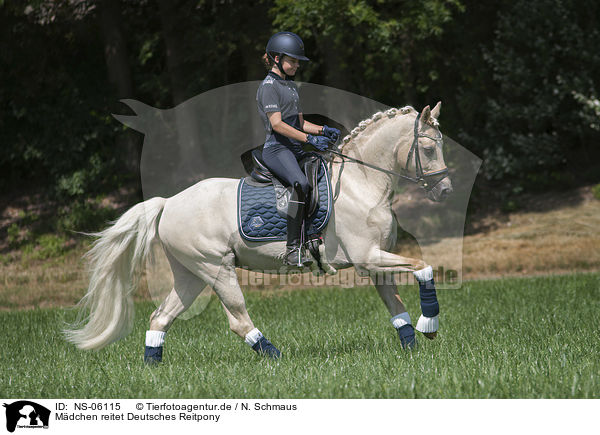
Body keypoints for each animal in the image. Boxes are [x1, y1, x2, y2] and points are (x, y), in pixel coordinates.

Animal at [64, 102, 450, 362]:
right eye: (428, 148)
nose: (444, 191)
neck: (361, 183)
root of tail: (169, 203)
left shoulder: (375, 263)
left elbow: (396, 307)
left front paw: (415, 344)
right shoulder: (368, 258)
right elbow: (424, 266)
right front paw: (430, 322)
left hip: (190, 273)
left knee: (161, 316)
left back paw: (152, 367)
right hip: (215, 268)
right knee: (237, 319)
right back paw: (276, 357)